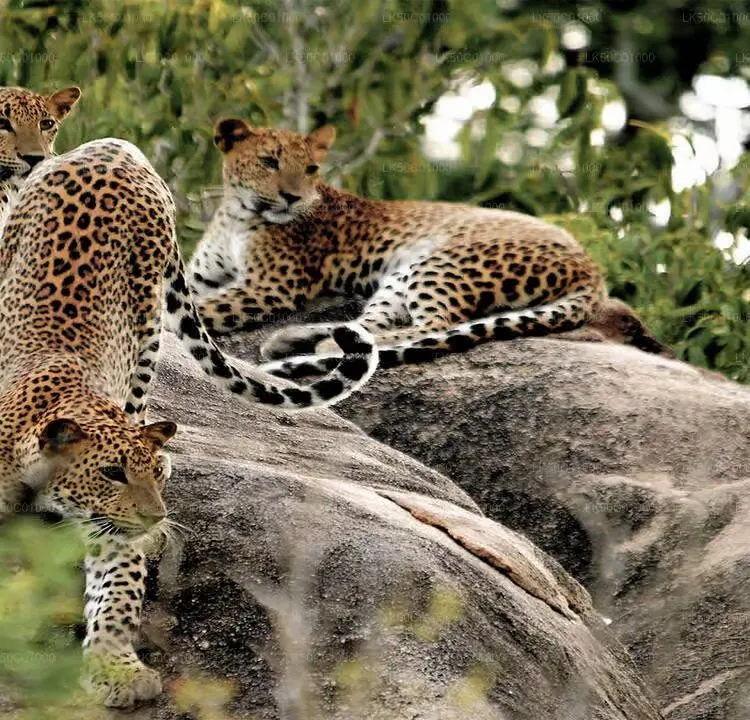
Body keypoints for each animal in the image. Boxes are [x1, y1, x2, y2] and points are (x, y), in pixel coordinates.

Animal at [0, 137, 376, 706]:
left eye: (152, 474)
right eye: (111, 473)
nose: (156, 516)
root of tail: (114, 146)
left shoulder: (113, 529)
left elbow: (116, 589)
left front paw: (118, 670)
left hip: (147, 332)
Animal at [186, 117, 673, 383]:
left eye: (310, 169)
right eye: (269, 162)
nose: (292, 197)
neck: (236, 213)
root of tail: (592, 267)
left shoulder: (269, 285)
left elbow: (201, 308)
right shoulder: (201, 274)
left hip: (440, 261)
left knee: (429, 326)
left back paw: (311, 344)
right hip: (401, 275)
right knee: (368, 327)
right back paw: (295, 338)